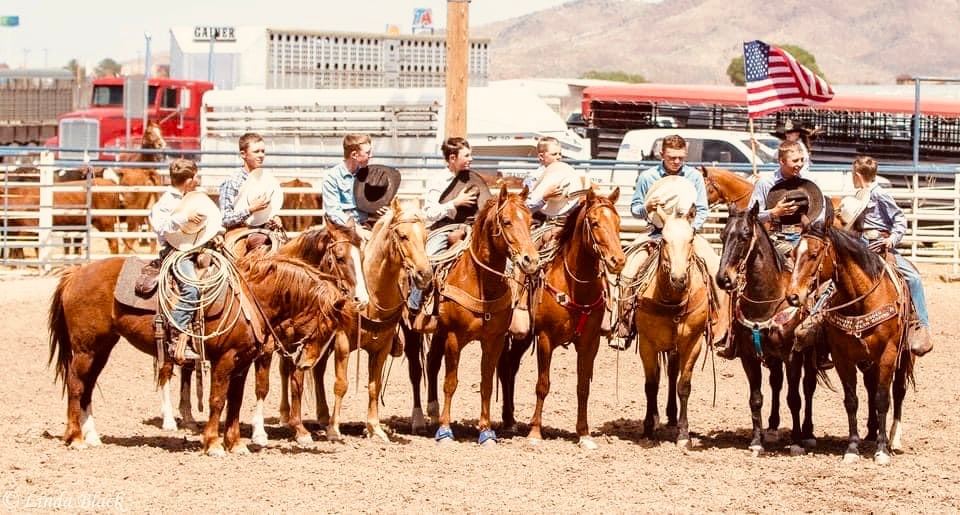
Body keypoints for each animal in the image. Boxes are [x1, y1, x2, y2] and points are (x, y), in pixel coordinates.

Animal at [47, 254, 350, 456]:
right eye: (327, 325)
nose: (306, 363)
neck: (249, 298)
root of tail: (75, 273)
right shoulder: (224, 360)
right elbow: (217, 400)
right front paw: (213, 444)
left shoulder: (241, 364)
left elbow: (235, 404)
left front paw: (235, 444)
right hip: (85, 348)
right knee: (76, 386)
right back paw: (75, 438)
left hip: (102, 347)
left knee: (86, 389)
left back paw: (92, 436)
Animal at [404, 184, 540, 444]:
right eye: (507, 221)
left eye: (530, 221)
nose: (531, 260)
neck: (481, 283)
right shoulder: (454, 337)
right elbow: (451, 382)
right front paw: (445, 430)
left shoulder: (494, 340)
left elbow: (486, 382)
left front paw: (486, 431)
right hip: (411, 329)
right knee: (416, 370)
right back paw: (418, 420)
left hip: (438, 333)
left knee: (432, 363)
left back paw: (433, 412)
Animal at [496, 187, 632, 450]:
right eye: (595, 222)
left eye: (619, 222)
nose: (618, 261)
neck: (575, 287)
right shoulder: (545, 339)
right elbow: (543, 385)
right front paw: (535, 432)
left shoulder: (590, 343)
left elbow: (583, 387)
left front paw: (584, 434)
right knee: (506, 367)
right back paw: (509, 421)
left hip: (523, 339)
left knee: (509, 367)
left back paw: (509, 419)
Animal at [716, 205, 820, 456]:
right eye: (723, 235)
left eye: (745, 236)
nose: (723, 279)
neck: (766, 301)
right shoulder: (749, 357)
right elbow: (756, 398)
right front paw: (756, 441)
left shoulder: (793, 357)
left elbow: (795, 398)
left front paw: (796, 441)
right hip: (772, 357)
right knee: (776, 382)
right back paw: (772, 427)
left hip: (808, 356)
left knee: (808, 388)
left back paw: (808, 433)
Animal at [788, 222, 916, 464]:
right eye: (793, 253)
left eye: (814, 254)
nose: (792, 296)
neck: (863, 300)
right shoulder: (842, 358)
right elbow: (852, 400)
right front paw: (852, 447)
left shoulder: (888, 354)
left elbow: (883, 399)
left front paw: (882, 450)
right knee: (870, 386)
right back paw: (871, 433)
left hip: (904, 356)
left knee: (898, 391)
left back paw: (894, 438)